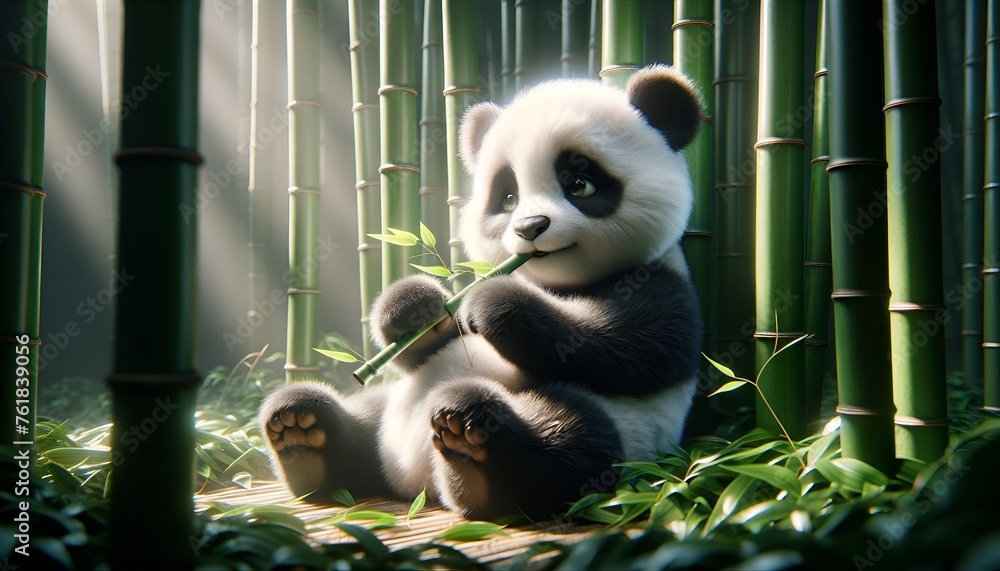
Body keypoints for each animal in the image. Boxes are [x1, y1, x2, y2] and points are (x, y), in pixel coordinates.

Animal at [259, 64, 703, 521]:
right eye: (507, 198)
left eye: (580, 185)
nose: (529, 228)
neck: (552, 282)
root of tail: (416, 483)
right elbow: (423, 345)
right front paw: (415, 309)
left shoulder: (660, 282)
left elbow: (622, 344)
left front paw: (490, 302)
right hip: (386, 410)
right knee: (360, 422)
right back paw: (301, 432)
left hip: (623, 426)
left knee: (570, 441)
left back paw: (471, 452)